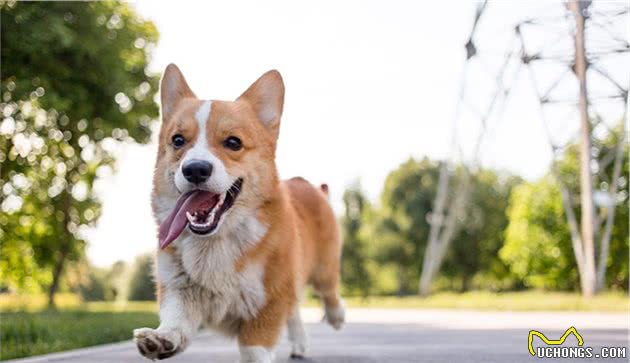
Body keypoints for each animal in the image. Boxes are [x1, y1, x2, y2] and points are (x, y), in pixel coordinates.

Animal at [133, 65, 346, 363]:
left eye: (233, 142)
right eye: (177, 140)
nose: (195, 169)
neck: (215, 241)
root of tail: (306, 183)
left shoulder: (269, 299)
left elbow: (255, 348)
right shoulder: (179, 288)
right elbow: (176, 321)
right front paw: (160, 340)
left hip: (324, 268)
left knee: (329, 292)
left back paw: (337, 317)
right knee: (294, 312)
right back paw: (300, 345)